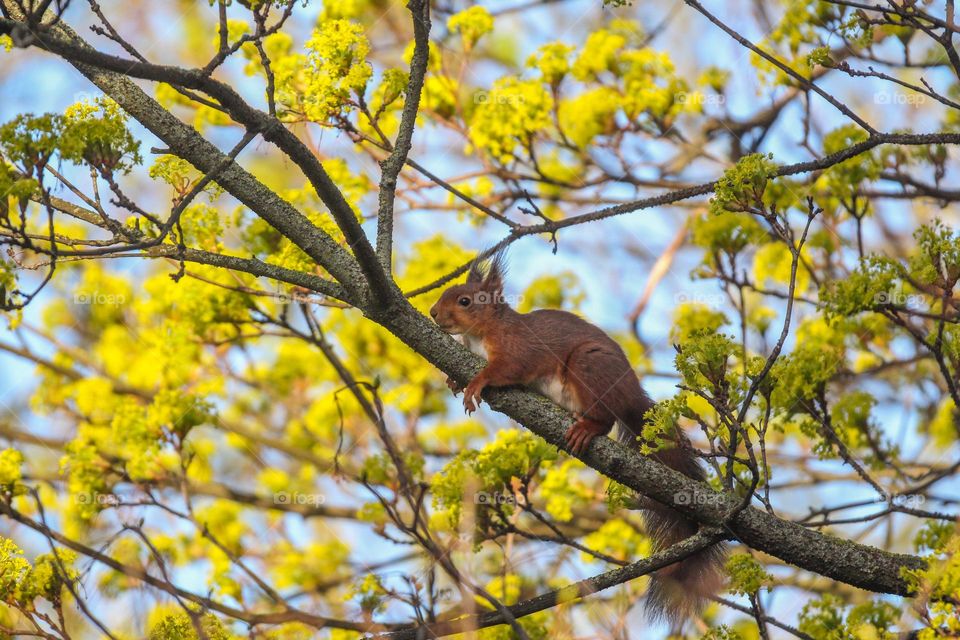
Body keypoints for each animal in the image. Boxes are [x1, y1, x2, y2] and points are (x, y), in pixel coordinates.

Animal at [429, 249, 726, 631]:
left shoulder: (519, 349)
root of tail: (631, 395)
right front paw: (453, 381)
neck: (481, 336)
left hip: (588, 368)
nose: (433, 313)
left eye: (465, 301)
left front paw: (476, 384)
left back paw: (588, 427)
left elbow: (505, 369)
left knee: (606, 418)